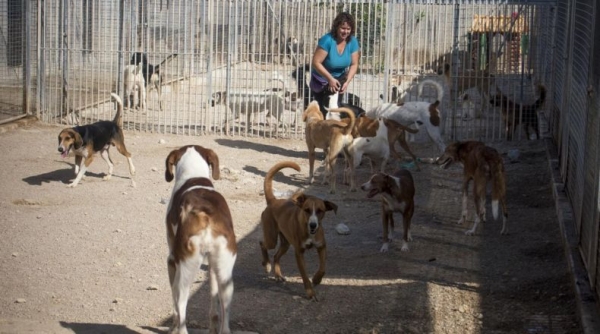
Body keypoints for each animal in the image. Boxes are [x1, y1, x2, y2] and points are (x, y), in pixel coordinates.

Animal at [165, 145, 240, 334]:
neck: (194, 176)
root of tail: (206, 215)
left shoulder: (171, 260)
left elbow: (174, 304)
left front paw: (172, 326)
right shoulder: (212, 265)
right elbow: (213, 298)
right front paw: (212, 326)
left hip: (186, 269)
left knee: (181, 303)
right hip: (226, 277)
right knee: (225, 312)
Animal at [258, 160, 338, 302]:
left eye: (320, 211)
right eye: (306, 210)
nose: (313, 225)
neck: (309, 232)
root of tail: (273, 201)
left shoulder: (322, 246)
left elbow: (323, 268)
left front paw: (317, 279)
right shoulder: (299, 253)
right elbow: (305, 276)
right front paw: (310, 293)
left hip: (285, 243)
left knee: (276, 256)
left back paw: (278, 275)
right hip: (272, 238)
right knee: (262, 244)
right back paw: (266, 264)